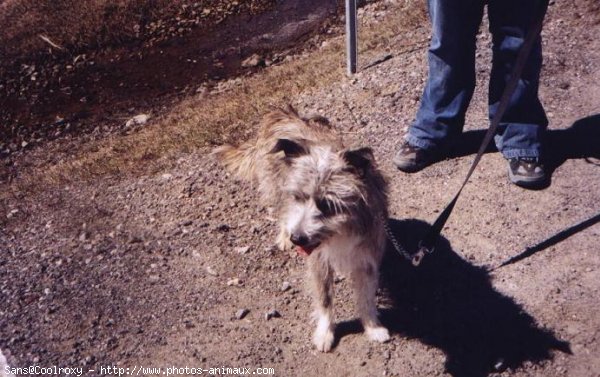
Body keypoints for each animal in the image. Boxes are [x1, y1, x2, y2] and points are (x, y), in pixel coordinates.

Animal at [213, 107, 392, 352]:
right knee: (281, 212)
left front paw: (372, 327)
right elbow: (325, 299)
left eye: (328, 205)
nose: (297, 238)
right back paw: (283, 234)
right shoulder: (318, 260)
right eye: (299, 197)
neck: (340, 234)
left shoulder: (366, 256)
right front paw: (325, 332)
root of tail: (285, 115)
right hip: (277, 190)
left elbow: (366, 298)